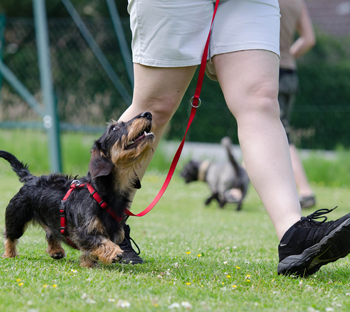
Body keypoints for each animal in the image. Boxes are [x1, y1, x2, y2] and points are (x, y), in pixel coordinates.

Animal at [1, 111, 154, 266]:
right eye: (114, 128)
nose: (147, 113)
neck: (100, 193)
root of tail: (31, 178)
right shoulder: (83, 232)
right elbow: (100, 241)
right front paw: (114, 252)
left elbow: (92, 250)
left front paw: (89, 264)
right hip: (16, 218)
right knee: (10, 236)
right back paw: (9, 254)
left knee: (50, 233)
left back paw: (56, 250)